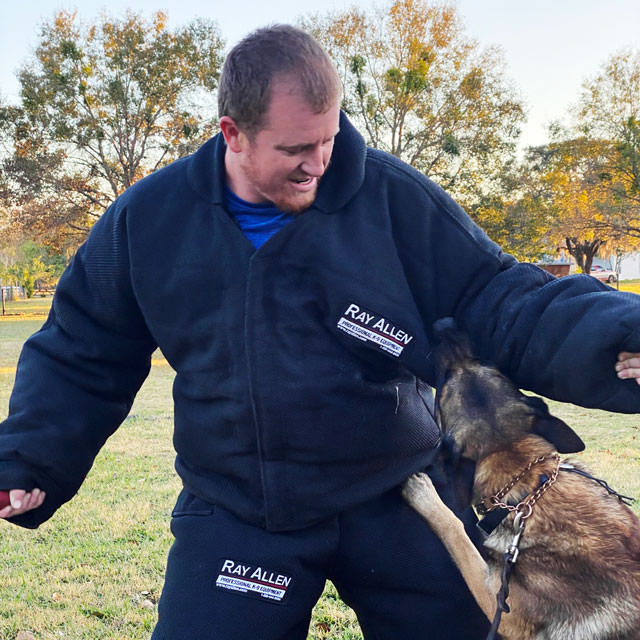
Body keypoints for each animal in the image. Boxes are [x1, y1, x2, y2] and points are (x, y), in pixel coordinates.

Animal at [404, 324, 640, 640]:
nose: (444, 324)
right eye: (487, 363)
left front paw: (424, 496)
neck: (529, 487)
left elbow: (456, 531)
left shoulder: (501, 609)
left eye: (443, 384)